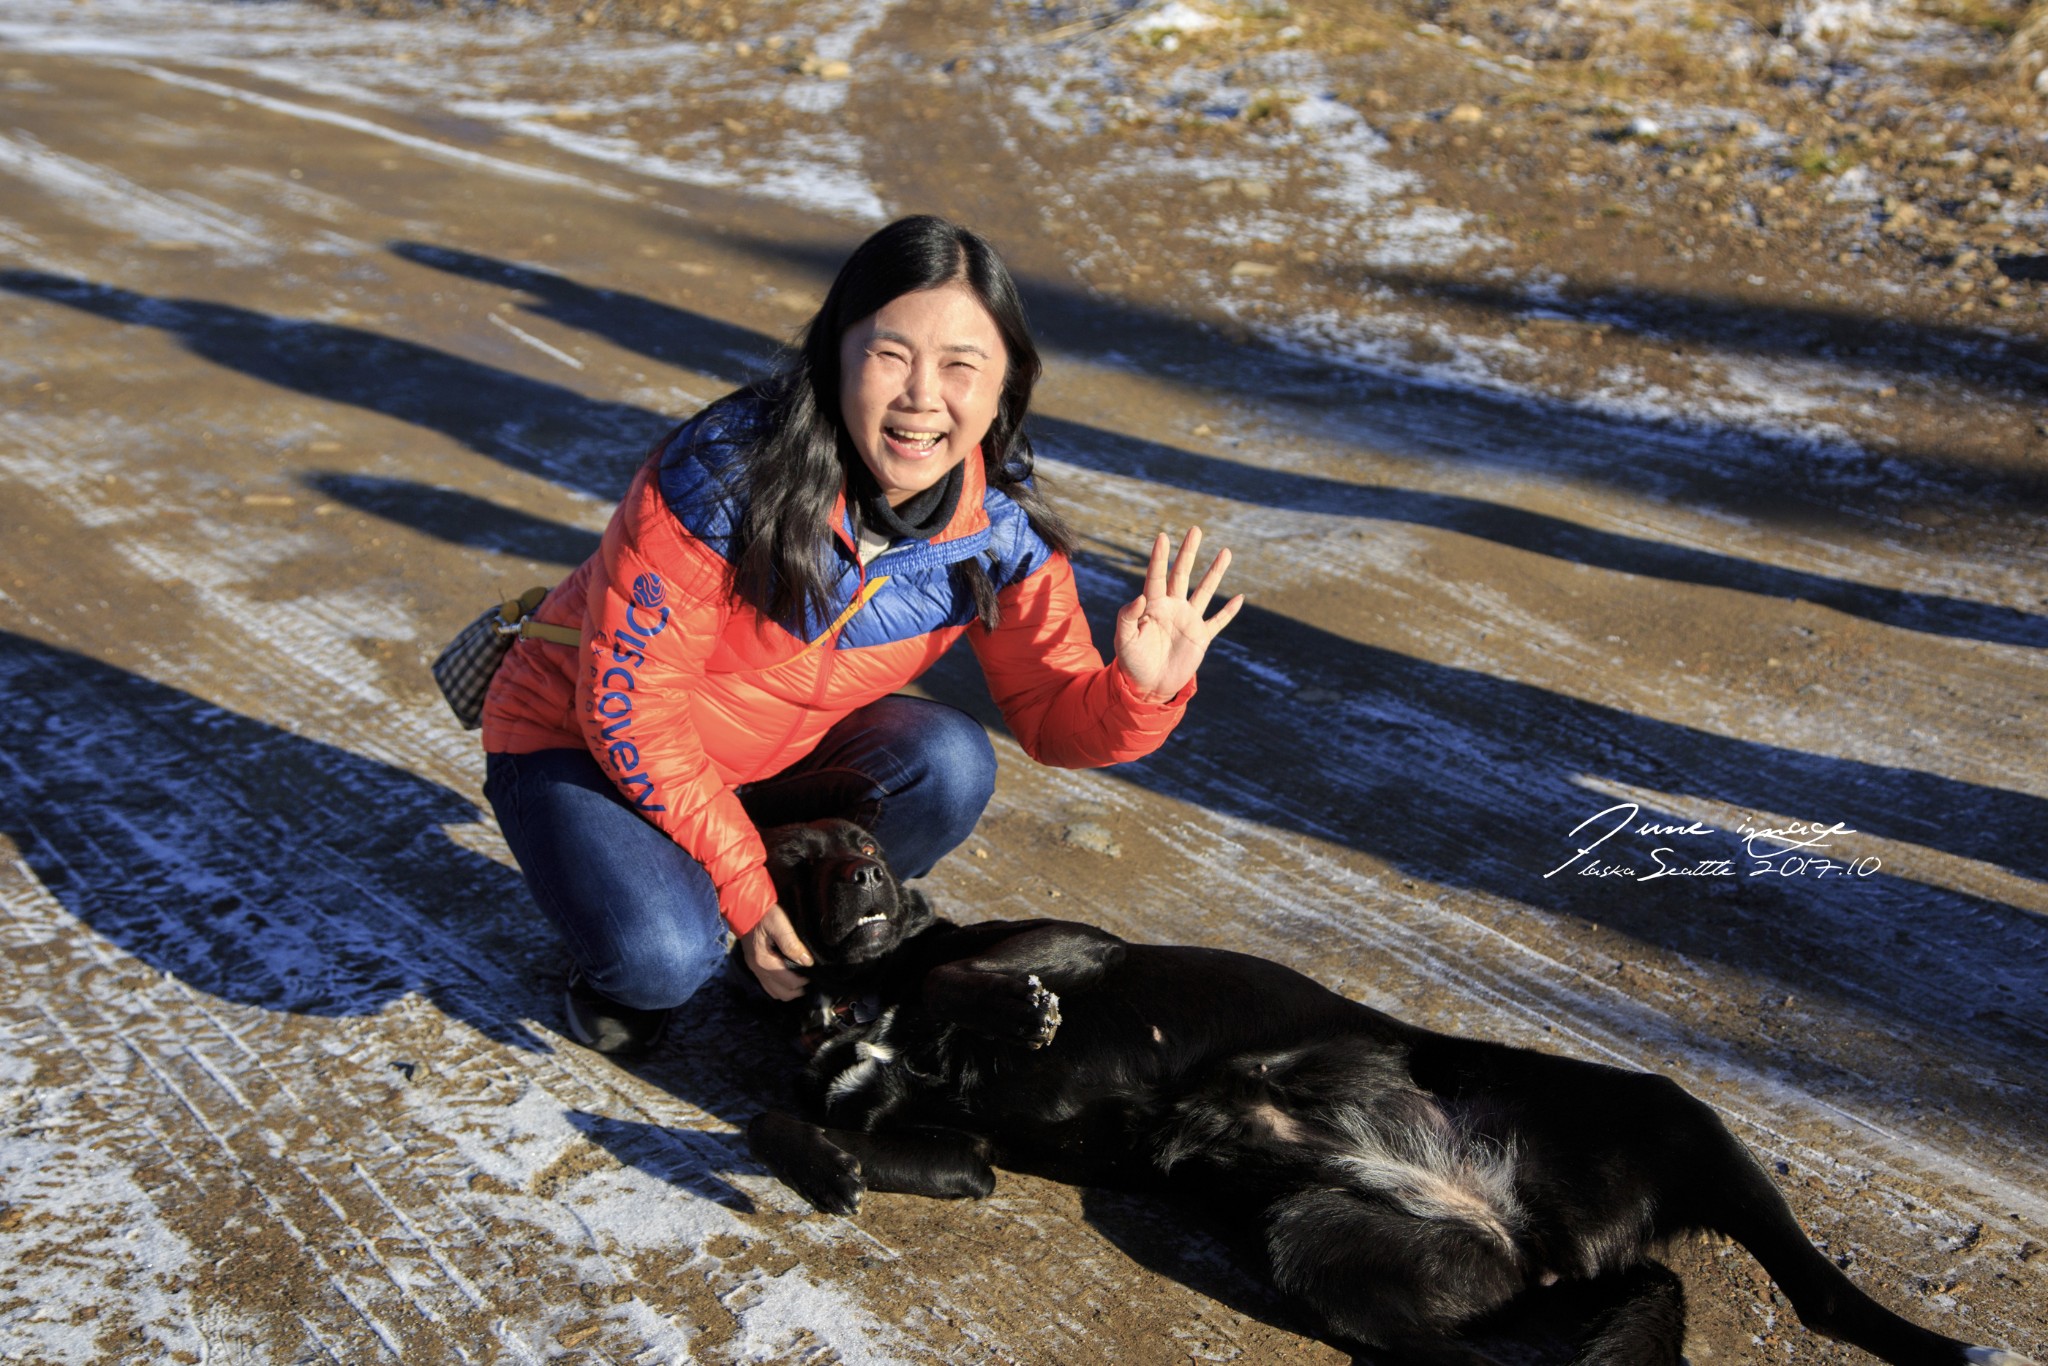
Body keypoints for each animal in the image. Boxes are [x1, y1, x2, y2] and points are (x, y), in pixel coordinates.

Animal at [749, 823, 2031, 1366]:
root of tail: (1552, 1241)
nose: (865, 867)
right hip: (1326, 1256)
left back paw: (1953, 1351)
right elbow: (795, 1113)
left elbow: (965, 978)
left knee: (1820, 1295)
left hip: (1683, 1118)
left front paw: (1003, 1012)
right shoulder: (952, 1146)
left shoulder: (1064, 953)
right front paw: (826, 1162)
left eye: (857, 833)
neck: (862, 983)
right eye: (799, 844)